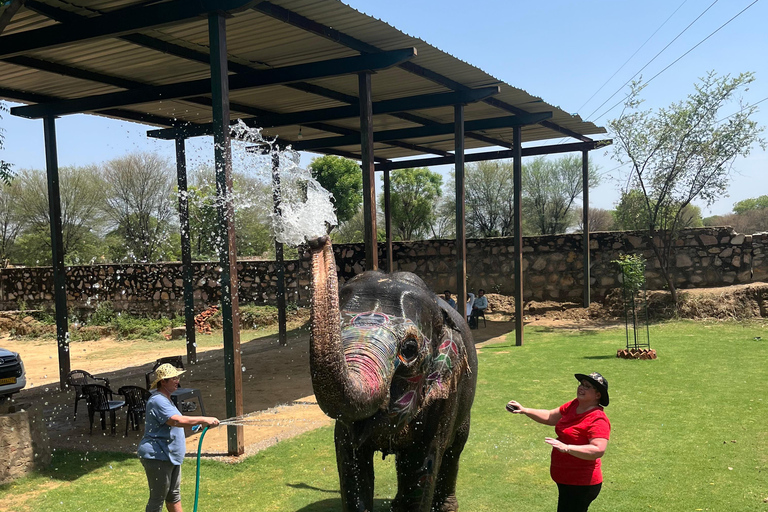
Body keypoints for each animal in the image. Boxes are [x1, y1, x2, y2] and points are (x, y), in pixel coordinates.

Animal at [308, 238, 476, 510]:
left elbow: (423, 462)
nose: (317, 239)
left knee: (454, 450)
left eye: (409, 349)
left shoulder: (445, 397)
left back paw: (447, 506)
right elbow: (350, 459)